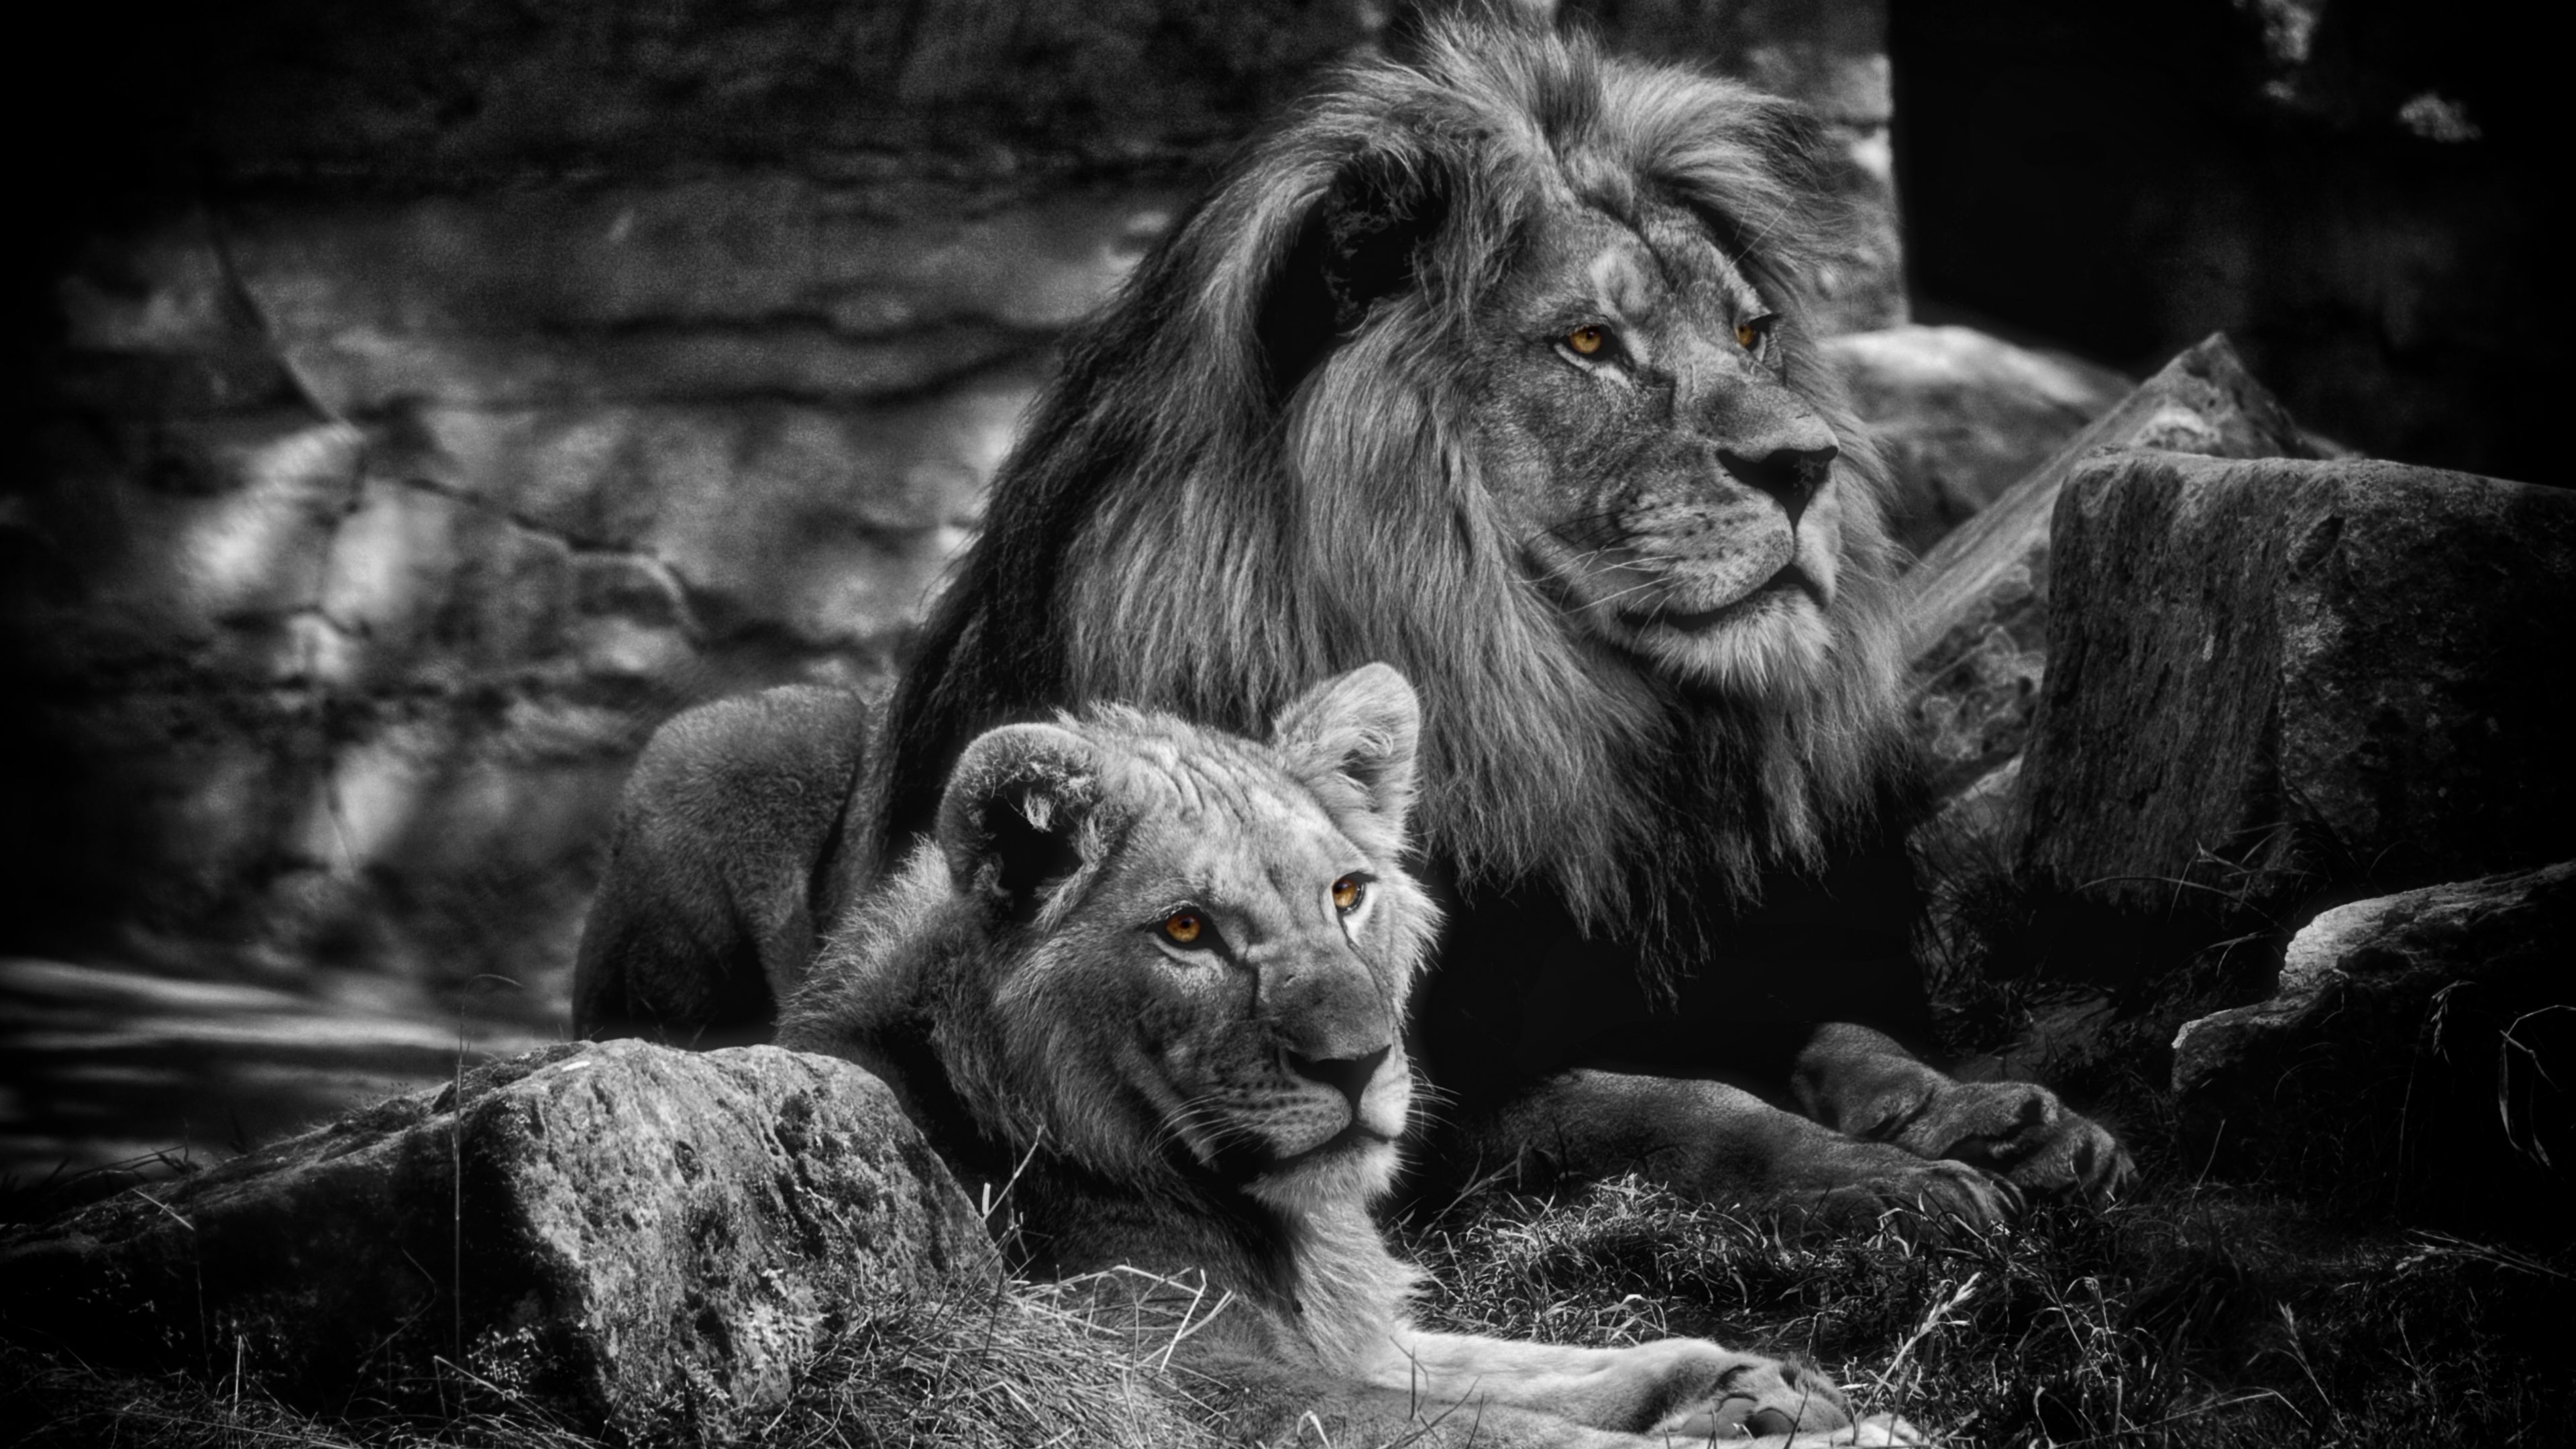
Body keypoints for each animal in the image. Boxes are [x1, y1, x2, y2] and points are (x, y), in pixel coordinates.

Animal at [575, 14, 2128, 1221]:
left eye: (1751, 335)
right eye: (1589, 345)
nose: (1809, 466)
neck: (1567, 724)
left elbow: (1842, 1035)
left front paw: (1988, 1112)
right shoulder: (1409, 1099)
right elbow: (1672, 1105)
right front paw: (1883, 1181)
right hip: (713, 743)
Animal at [777, 663, 1917, 1447]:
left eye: (1347, 894)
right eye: (1187, 931)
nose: (1361, 1063)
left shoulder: (1357, 1338)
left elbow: (1526, 1369)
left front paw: (1751, 1385)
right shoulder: (1160, 1378)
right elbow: (1497, 1430)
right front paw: (1831, 1430)